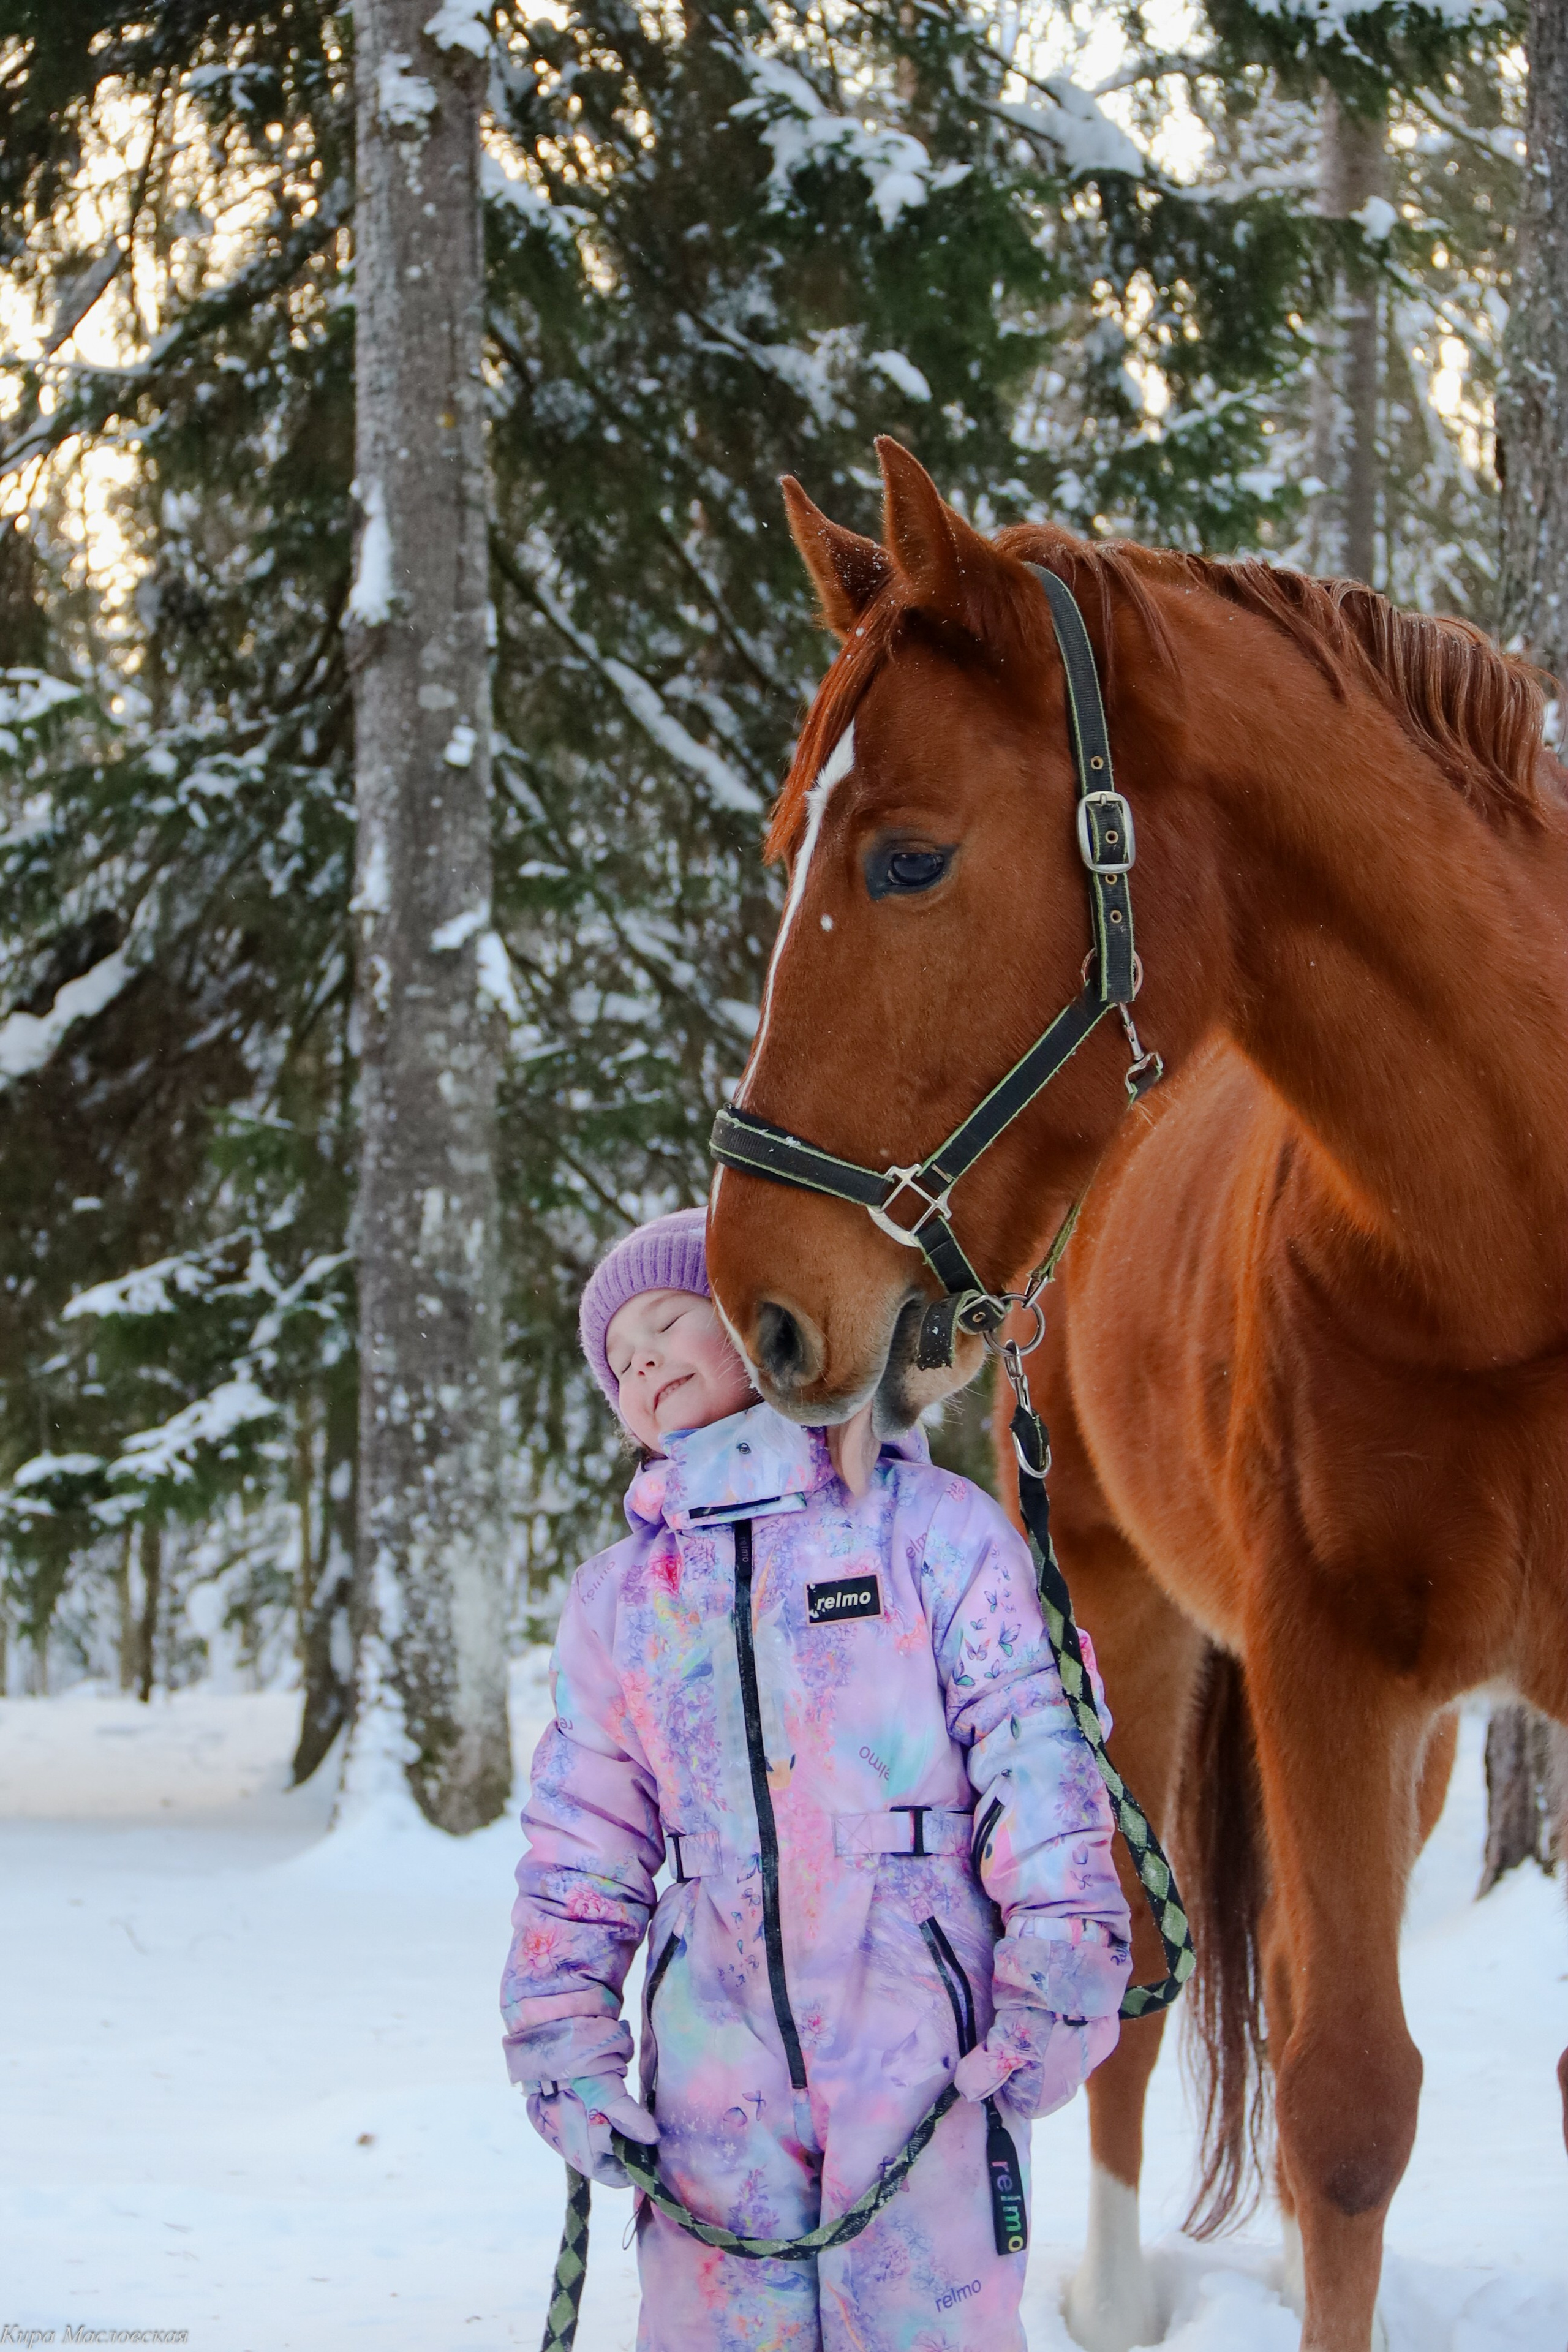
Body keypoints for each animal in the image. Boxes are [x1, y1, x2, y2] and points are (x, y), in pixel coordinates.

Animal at [705, 437, 1568, 2352]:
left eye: (908, 859)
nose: (758, 1304)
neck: (1511, 1268)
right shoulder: (1321, 1671)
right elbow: (1343, 2110)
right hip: (1130, 1625)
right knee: (1140, 1986)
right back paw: (1105, 2298)